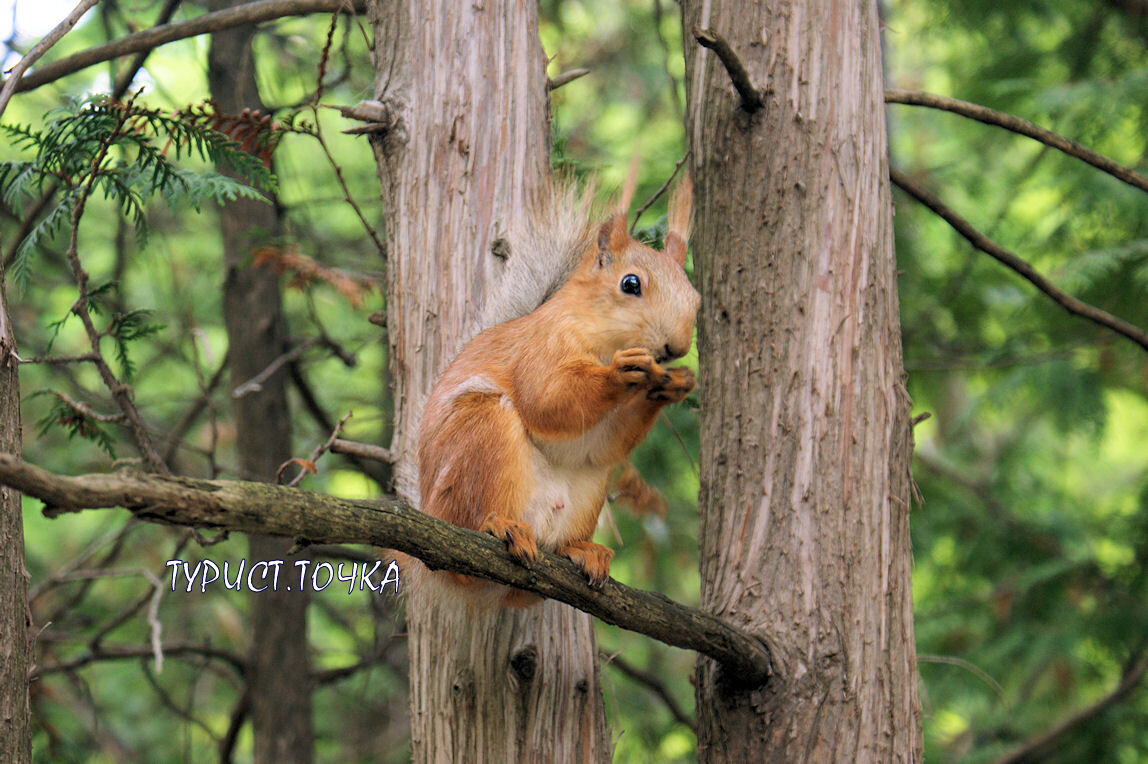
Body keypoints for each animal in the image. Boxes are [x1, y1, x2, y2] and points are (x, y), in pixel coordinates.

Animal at [415, 174, 693, 605]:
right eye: (630, 284)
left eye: (695, 296)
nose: (675, 348)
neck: (598, 337)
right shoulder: (540, 348)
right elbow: (548, 399)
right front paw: (620, 372)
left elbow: (604, 442)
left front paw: (674, 385)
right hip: (478, 435)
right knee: (469, 524)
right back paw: (501, 526)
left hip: (587, 489)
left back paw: (581, 550)